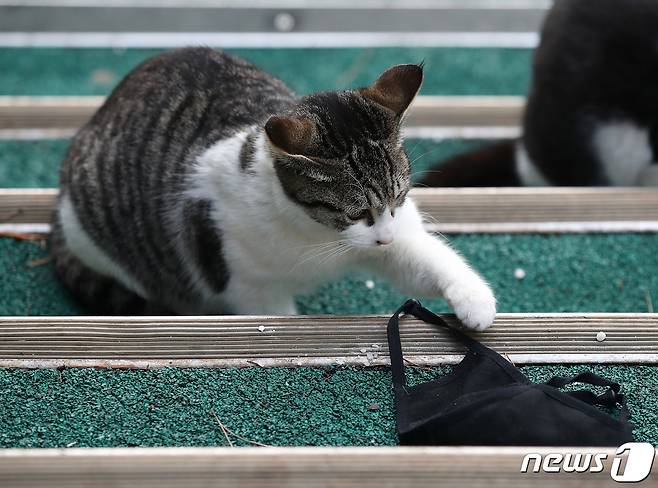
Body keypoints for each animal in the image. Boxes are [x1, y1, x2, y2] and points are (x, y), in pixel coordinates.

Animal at [50, 47, 492, 332]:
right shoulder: (251, 288)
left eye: (398, 198)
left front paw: (475, 299)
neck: (319, 236)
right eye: (355, 212)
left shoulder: (396, 234)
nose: (383, 239)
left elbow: (427, 259)